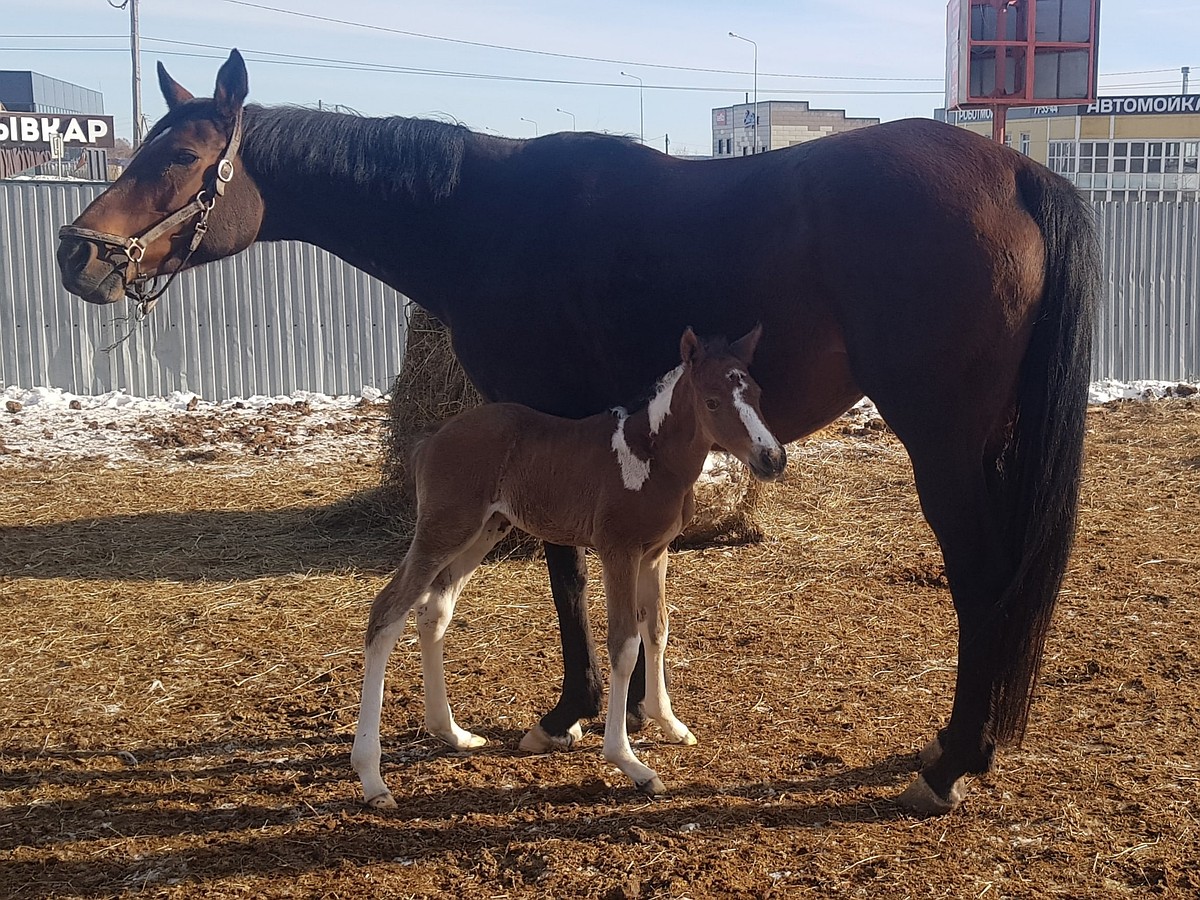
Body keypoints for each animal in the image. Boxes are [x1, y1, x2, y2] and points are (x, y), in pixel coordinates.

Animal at [350, 326, 787, 811]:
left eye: (758, 393)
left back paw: (452, 733)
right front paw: (629, 762)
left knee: (434, 612)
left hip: (484, 530)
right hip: (444, 528)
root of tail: (432, 437)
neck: (651, 457)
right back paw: (372, 777)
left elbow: (657, 629)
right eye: (712, 401)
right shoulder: (619, 551)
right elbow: (624, 644)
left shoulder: (655, 553)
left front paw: (670, 724)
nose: (772, 458)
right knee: (387, 612)